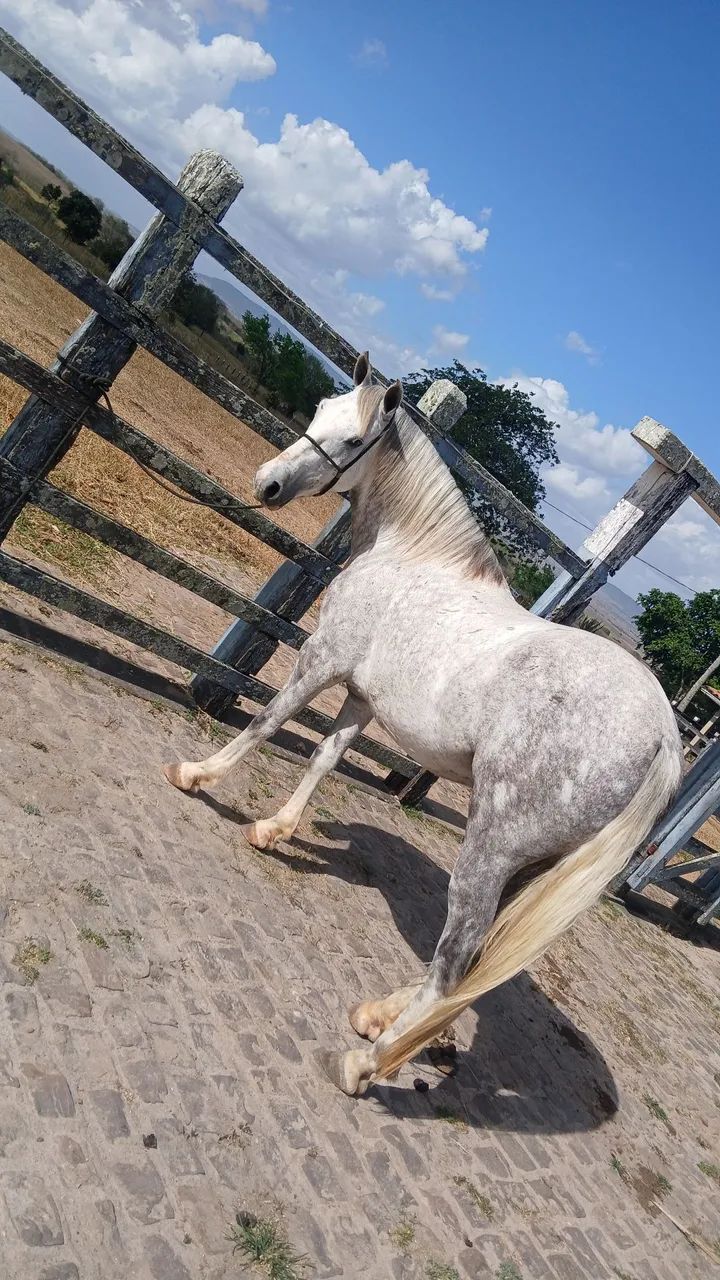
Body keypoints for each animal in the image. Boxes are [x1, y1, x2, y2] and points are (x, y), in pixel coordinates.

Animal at [164, 353, 682, 1097]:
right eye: (320, 410)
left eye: (354, 439)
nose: (269, 484)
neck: (408, 554)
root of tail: (665, 735)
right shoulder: (361, 698)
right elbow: (323, 757)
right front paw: (273, 830)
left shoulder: (321, 660)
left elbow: (266, 721)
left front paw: (197, 774)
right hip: (530, 867)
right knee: (475, 961)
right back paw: (384, 1016)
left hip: (490, 848)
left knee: (458, 962)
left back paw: (367, 1062)